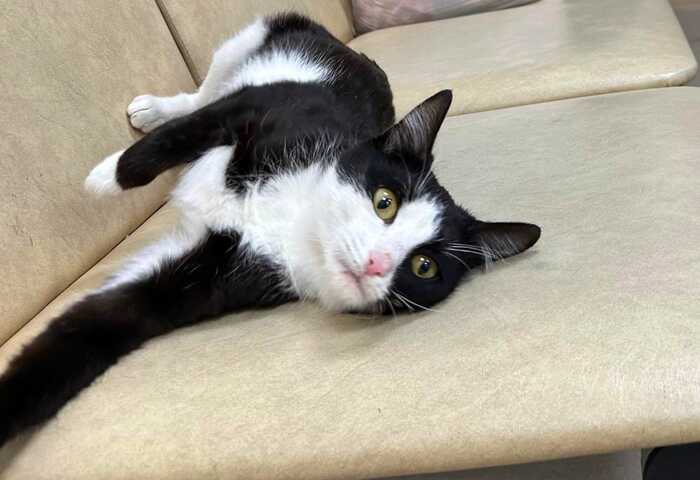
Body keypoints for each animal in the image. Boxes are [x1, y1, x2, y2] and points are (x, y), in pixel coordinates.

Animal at [0, 13, 540, 447]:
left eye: (425, 267)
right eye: (384, 202)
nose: (376, 264)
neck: (294, 220)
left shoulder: (217, 272)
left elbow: (106, 321)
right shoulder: (263, 112)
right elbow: (179, 136)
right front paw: (105, 179)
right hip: (263, 38)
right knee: (207, 89)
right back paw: (152, 110)